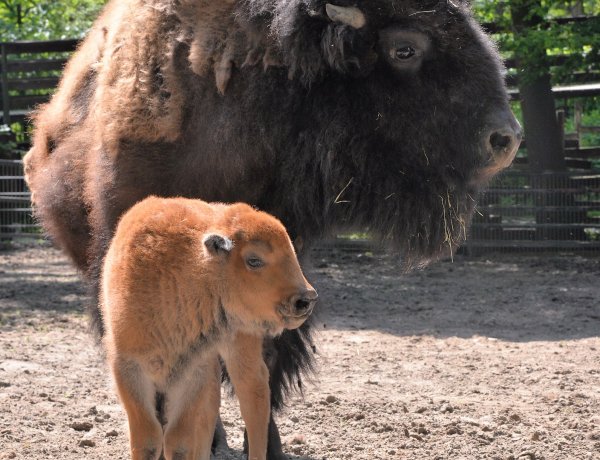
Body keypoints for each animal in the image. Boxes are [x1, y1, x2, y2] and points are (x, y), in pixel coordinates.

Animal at [101, 198, 316, 460]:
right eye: (254, 260)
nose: (305, 299)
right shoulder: (127, 366)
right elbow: (148, 438)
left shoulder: (192, 372)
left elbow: (178, 440)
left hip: (241, 345)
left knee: (254, 401)